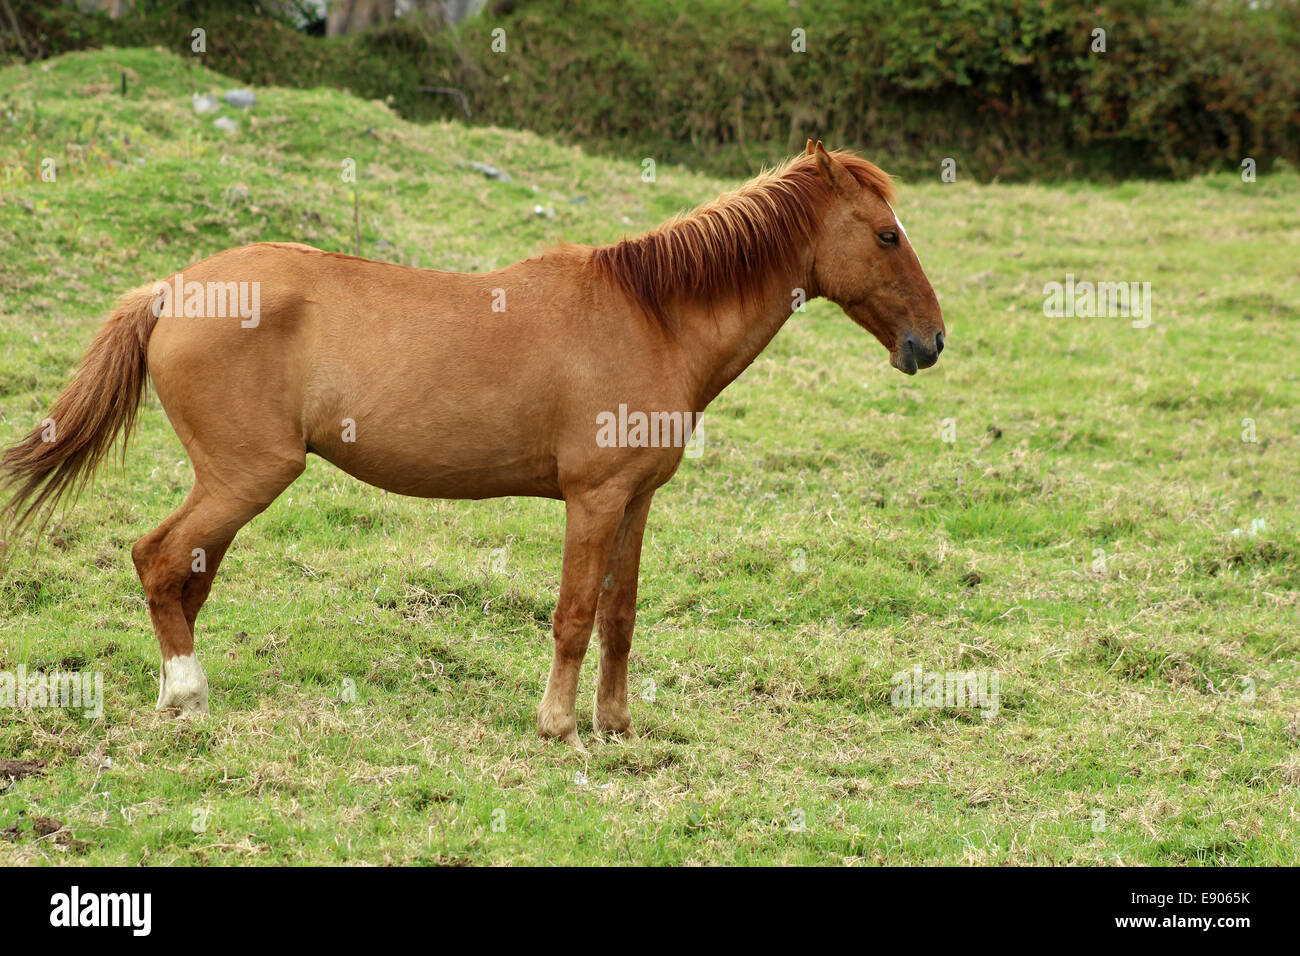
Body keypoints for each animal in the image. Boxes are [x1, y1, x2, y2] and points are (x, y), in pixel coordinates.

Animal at [0, 140, 946, 749]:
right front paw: (558, 726)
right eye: (886, 234)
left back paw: (180, 699)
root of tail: (170, 289)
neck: (650, 316)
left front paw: (617, 727)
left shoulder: (636, 500)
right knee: (159, 560)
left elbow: (621, 616)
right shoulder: (593, 499)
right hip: (247, 476)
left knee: (184, 575)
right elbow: (574, 616)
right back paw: (188, 698)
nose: (931, 343)